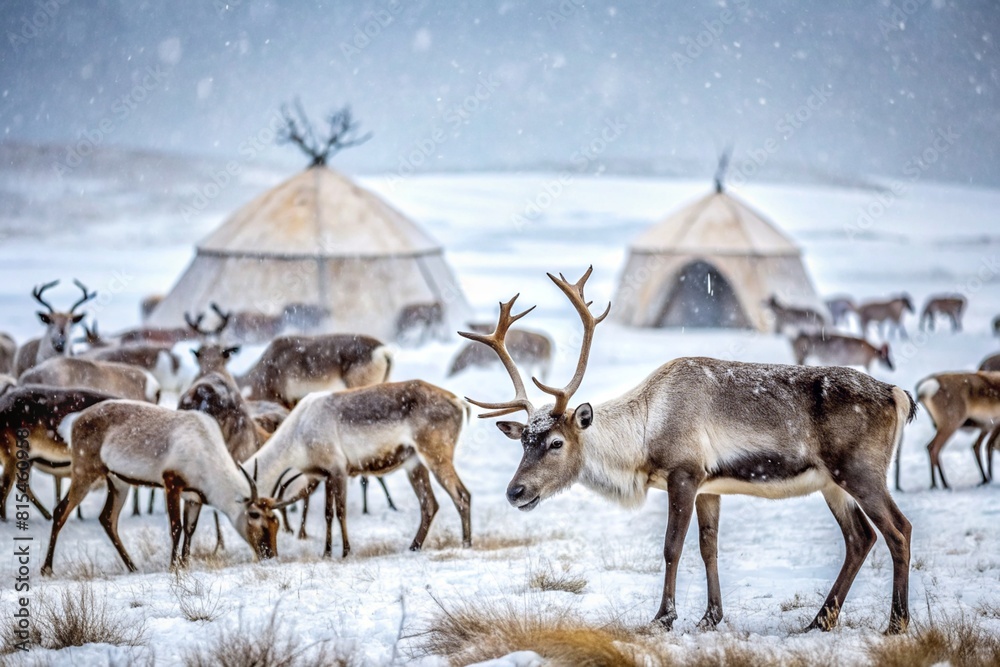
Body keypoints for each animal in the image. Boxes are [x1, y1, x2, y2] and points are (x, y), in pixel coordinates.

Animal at [41, 399, 296, 575]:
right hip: (84, 473)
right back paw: (47, 569)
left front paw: (185, 564)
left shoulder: (194, 497)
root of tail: (76, 421)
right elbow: (176, 527)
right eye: (254, 515)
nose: (269, 555)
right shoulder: (171, 484)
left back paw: (133, 567)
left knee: (108, 519)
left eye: (275, 523)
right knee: (61, 511)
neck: (204, 447)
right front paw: (173, 566)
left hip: (118, 482)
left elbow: (190, 529)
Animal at [244, 379, 473, 558]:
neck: (298, 434)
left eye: (254, 514)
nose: (267, 554)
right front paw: (326, 553)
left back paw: (466, 544)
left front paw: (345, 551)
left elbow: (340, 512)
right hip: (414, 465)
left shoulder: (339, 470)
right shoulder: (326, 475)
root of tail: (458, 402)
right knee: (429, 504)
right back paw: (414, 547)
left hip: (436, 457)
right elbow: (328, 513)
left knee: (462, 495)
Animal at [461, 267, 915, 635]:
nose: (515, 492)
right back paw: (819, 621)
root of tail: (897, 393)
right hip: (832, 483)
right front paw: (710, 617)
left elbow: (671, 547)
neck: (645, 432)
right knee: (859, 538)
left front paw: (664, 617)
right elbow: (708, 547)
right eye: (523, 441)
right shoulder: (709, 486)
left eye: (556, 442)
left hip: (860, 472)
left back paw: (895, 623)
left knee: (898, 530)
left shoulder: (684, 474)